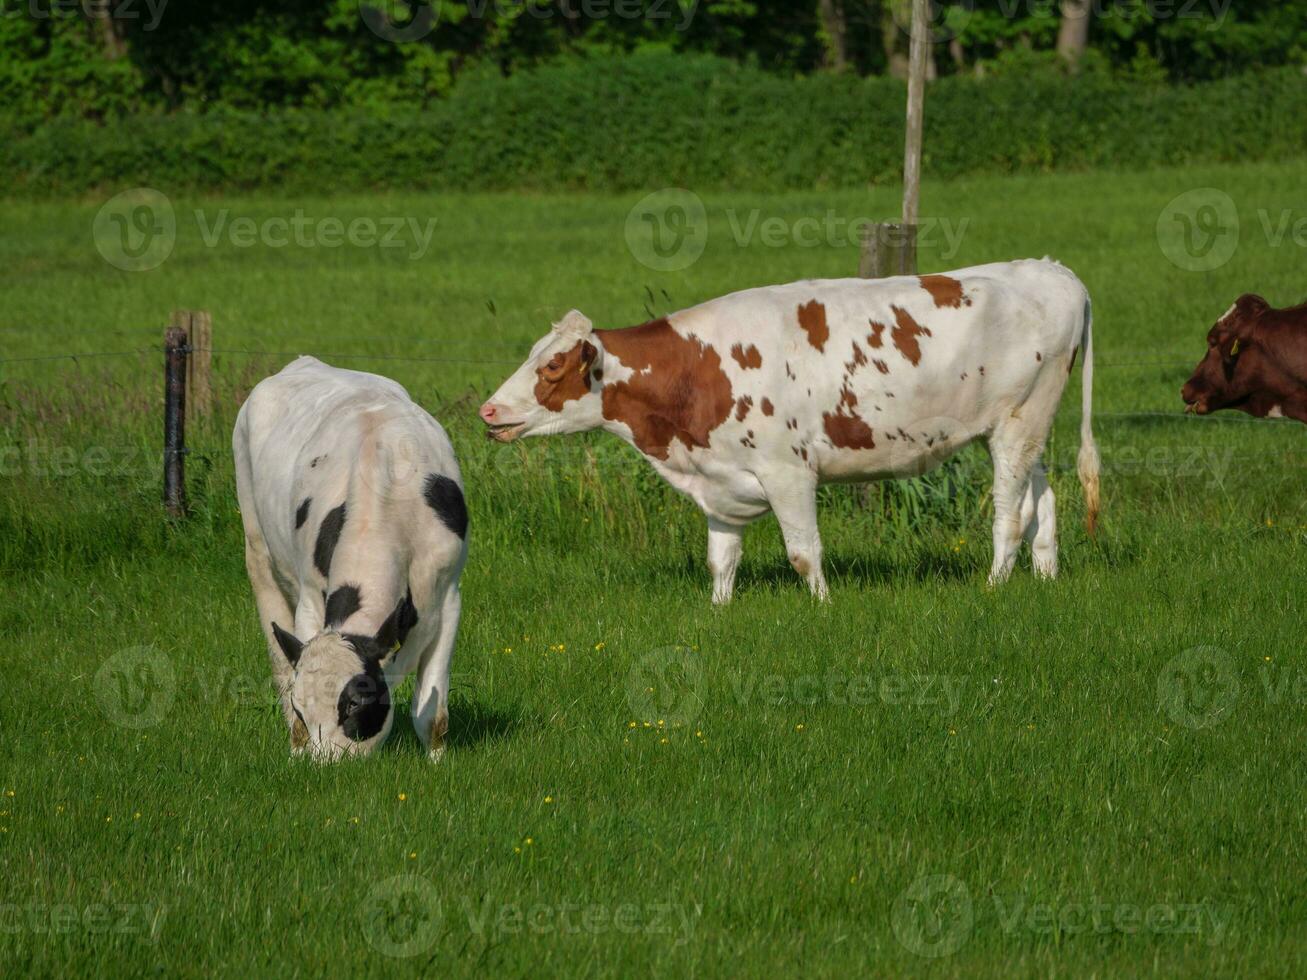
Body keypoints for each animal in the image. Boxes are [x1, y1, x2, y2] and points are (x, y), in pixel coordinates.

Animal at [236, 358, 470, 763]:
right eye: (301, 707)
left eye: (355, 704)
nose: (327, 765)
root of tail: (304, 361)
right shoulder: (311, 599)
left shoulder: (447, 596)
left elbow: (432, 713)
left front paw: (438, 763)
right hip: (256, 543)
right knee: (278, 651)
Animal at [486, 257, 1097, 603]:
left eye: (552, 366)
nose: (489, 411)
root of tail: (1051, 268)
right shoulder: (719, 475)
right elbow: (721, 559)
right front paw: (719, 612)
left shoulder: (787, 472)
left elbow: (804, 553)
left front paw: (822, 607)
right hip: (1028, 425)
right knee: (1042, 500)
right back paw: (1045, 578)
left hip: (1017, 424)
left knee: (1008, 514)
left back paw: (993, 587)